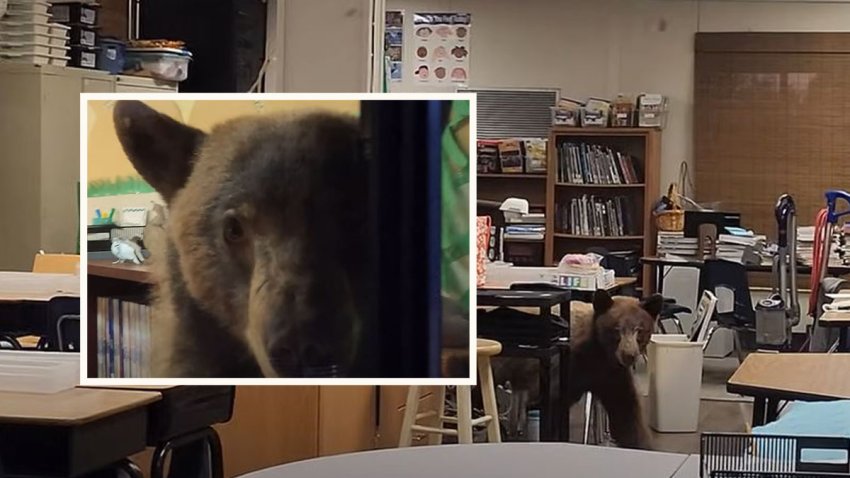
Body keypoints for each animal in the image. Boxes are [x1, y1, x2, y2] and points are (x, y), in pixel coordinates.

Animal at [486, 290, 660, 450]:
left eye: (640, 330)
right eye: (616, 329)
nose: (629, 354)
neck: (598, 351)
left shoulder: (610, 374)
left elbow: (627, 413)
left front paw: (643, 445)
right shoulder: (566, 369)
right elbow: (552, 408)